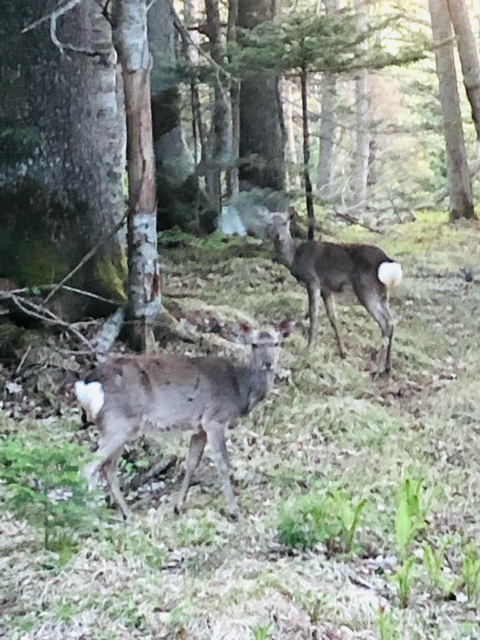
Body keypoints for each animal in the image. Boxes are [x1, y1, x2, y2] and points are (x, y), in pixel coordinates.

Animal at [74, 320, 292, 520]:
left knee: (108, 469)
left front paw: (178, 506)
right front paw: (234, 511)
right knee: (90, 466)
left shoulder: (199, 428)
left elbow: (191, 463)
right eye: (254, 344)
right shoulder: (215, 419)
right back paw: (91, 515)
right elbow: (223, 463)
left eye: (277, 343)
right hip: (118, 422)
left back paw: (128, 514)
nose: (268, 363)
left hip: (121, 426)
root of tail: (85, 385)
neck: (240, 390)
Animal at [258, 208, 402, 372]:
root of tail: (386, 262)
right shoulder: (326, 288)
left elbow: (313, 314)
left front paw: (308, 348)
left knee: (384, 323)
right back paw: (388, 366)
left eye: (284, 223)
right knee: (392, 321)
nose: (277, 236)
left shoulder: (313, 280)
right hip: (383, 293)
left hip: (366, 289)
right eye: (270, 223)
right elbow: (333, 317)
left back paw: (378, 368)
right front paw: (343, 352)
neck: (294, 260)